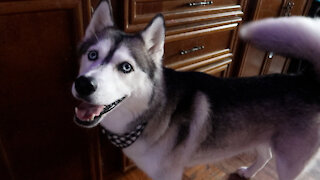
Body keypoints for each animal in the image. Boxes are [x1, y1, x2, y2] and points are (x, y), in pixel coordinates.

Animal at [71, 0, 320, 179]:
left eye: (126, 67)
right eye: (92, 55)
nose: (84, 84)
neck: (151, 114)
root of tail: (308, 80)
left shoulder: (168, 175)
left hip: (290, 162)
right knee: (266, 155)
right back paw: (249, 172)